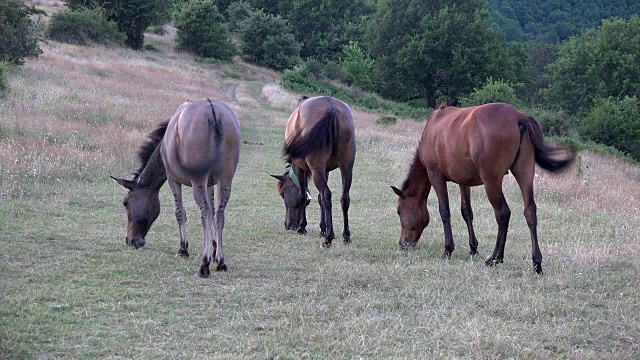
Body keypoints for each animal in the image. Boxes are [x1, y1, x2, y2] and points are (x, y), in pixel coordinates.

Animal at [111, 97, 241, 278]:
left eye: (126, 203)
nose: (131, 240)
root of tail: (213, 111)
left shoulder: (173, 180)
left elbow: (180, 213)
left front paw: (183, 249)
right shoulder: (210, 184)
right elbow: (213, 211)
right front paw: (216, 250)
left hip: (198, 180)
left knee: (204, 213)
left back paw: (204, 263)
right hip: (225, 180)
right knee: (219, 214)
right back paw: (221, 262)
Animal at [268, 95, 356, 248]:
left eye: (282, 194)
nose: (288, 225)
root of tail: (331, 107)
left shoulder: (299, 168)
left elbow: (302, 195)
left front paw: (302, 227)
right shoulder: (326, 170)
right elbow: (319, 199)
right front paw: (323, 228)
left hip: (316, 168)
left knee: (327, 194)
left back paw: (328, 238)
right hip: (346, 167)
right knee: (344, 198)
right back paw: (346, 236)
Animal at [392, 101, 576, 272]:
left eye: (399, 211)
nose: (402, 244)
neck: (433, 127)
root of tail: (518, 117)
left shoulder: (435, 175)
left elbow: (445, 211)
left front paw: (448, 250)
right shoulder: (463, 181)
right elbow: (467, 212)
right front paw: (473, 248)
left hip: (491, 180)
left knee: (503, 213)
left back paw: (495, 258)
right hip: (524, 173)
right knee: (530, 211)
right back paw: (536, 263)